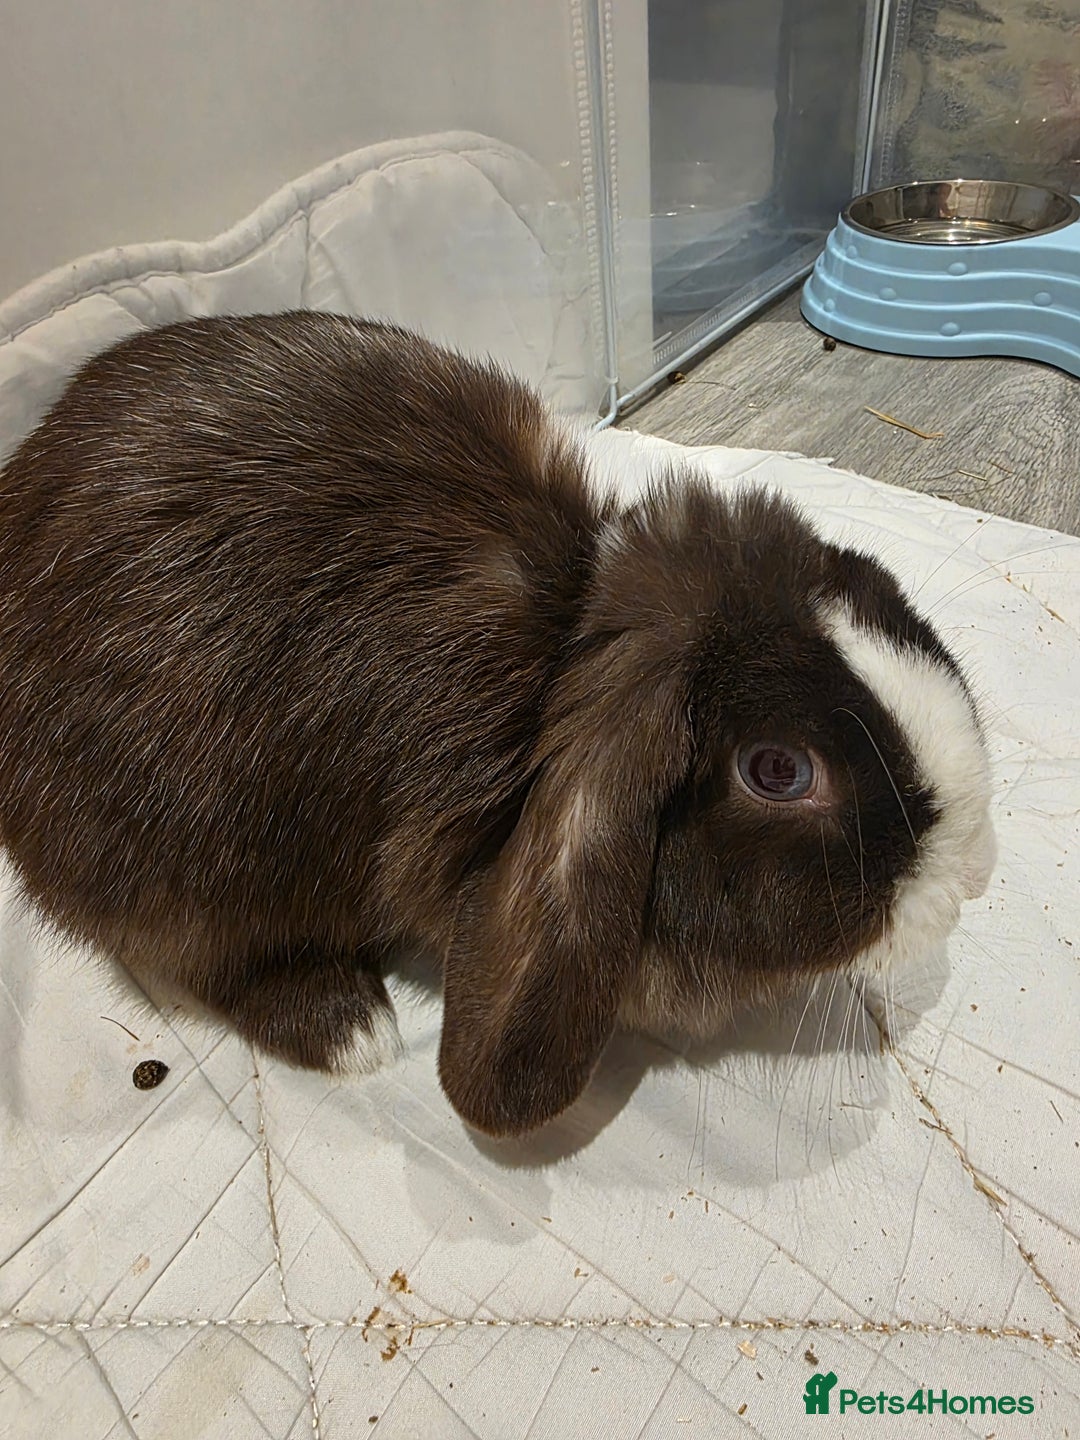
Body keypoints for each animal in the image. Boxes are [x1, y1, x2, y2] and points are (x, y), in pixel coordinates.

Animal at [0, 312, 996, 1136]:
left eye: (872, 580)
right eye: (778, 771)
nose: (974, 874)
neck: (558, 661)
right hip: (188, 865)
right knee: (204, 959)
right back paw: (351, 1028)